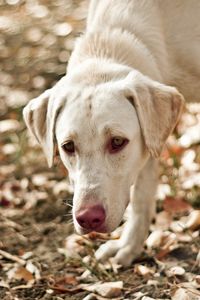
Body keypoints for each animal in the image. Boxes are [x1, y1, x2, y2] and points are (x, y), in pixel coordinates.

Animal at [23, 1, 200, 266]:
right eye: (68, 146)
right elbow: (141, 197)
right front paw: (129, 245)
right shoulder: (149, 144)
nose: (88, 218)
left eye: (117, 141)